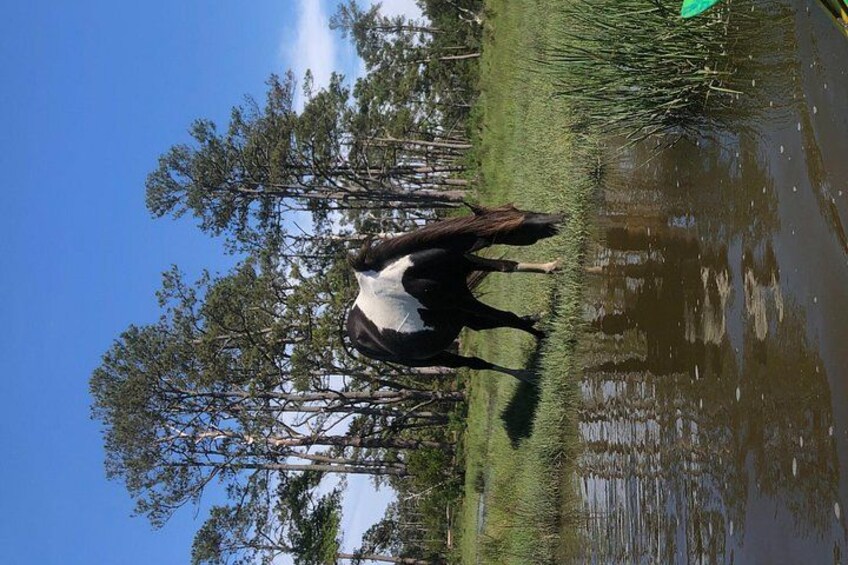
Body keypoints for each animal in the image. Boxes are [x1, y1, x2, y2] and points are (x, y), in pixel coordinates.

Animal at [344, 203, 565, 380]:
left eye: (520, 210)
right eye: (517, 227)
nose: (561, 217)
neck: (407, 271)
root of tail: (355, 335)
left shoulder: (466, 263)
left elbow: (507, 266)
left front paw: (554, 266)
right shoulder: (459, 299)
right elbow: (509, 317)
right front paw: (544, 336)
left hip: (457, 317)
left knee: (484, 325)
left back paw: (535, 318)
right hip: (436, 354)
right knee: (475, 362)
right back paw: (525, 375)